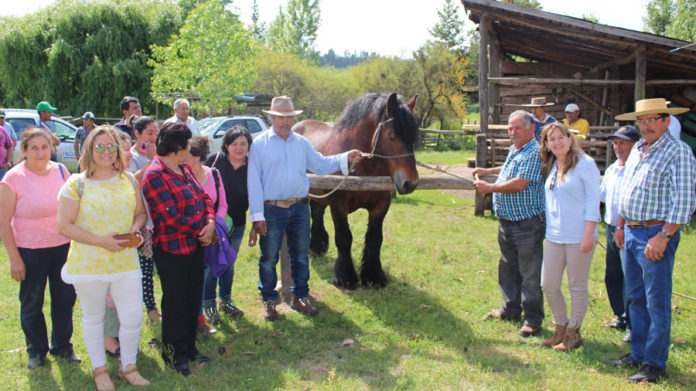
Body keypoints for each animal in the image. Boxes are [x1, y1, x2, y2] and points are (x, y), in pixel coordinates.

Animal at [294, 93, 418, 290]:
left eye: (413, 136)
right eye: (391, 136)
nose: (410, 183)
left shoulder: (381, 206)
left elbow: (375, 239)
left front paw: (373, 276)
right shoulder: (338, 207)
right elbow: (344, 238)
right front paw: (345, 277)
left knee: (317, 212)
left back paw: (317, 246)